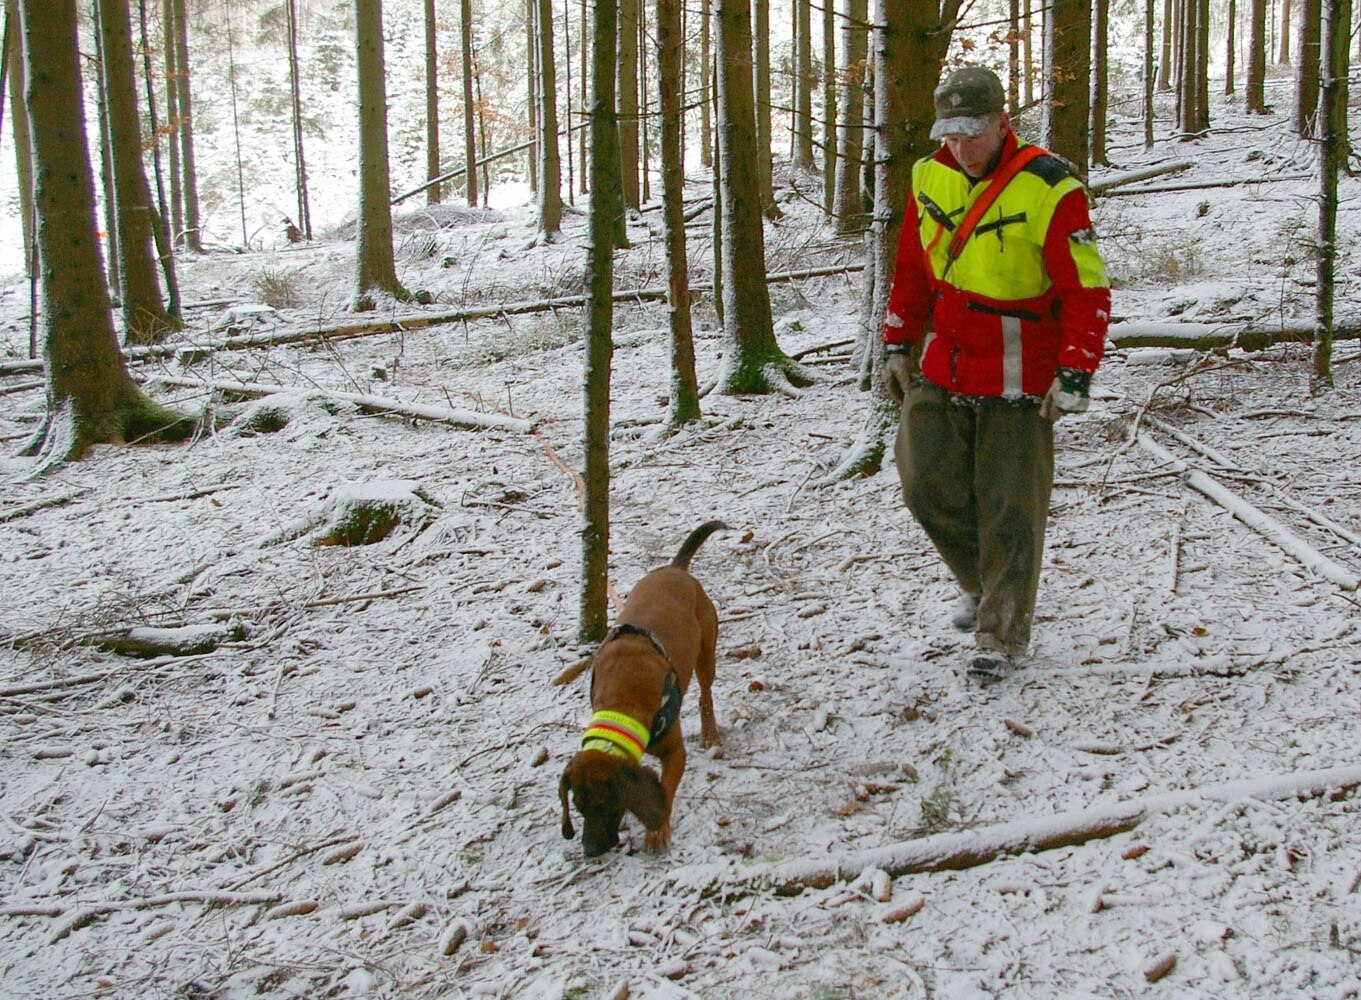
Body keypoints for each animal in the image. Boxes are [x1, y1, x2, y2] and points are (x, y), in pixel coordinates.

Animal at [558, 519, 729, 854]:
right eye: (579, 807)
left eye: (606, 803)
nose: (590, 850)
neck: (621, 706)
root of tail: (676, 570)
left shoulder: (675, 752)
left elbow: (665, 788)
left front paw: (657, 831)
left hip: (706, 656)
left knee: (706, 695)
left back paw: (709, 732)